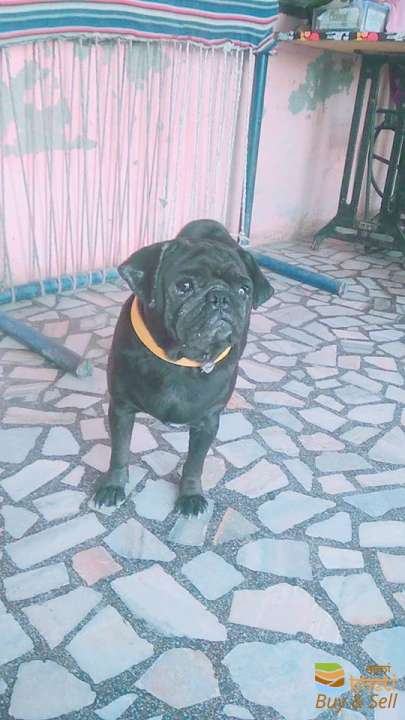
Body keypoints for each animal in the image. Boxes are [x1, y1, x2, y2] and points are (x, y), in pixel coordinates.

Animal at [93, 219, 273, 516]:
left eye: (243, 290)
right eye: (184, 286)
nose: (220, 297)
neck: (179, 359)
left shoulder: (207, 422)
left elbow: (194, 464)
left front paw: (190, 495)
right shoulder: (121, 409)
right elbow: (119, 452)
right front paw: (113, 485)